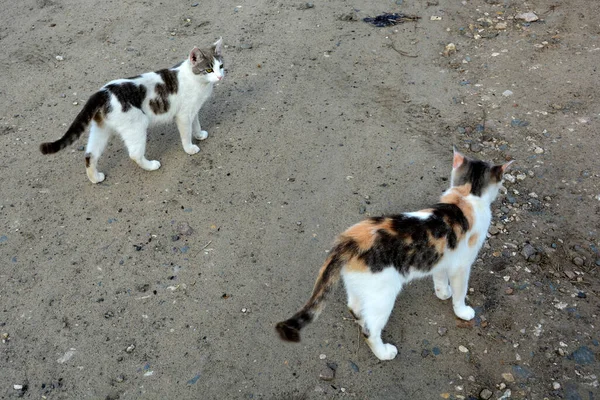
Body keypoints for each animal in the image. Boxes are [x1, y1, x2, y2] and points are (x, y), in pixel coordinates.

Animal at [39, 36, 224, 184]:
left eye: (221, 66)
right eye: (208, 69)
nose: (220, 76)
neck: (197, 81)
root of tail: (103, 92)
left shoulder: (193, 109)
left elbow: (196, 124)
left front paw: (199, 134)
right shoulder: (183, 115)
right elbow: (186, 133)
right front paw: (190, 148)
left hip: (101, 129)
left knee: (90, 155)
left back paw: (95, 178)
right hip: (137, 126)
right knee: (134, 154)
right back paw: (151, 165)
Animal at [276, 148, 510, 360]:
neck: (465, 195)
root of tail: (349, 239)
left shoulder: (442, 257)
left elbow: (440, 277)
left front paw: (443, 292)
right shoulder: (462, 265)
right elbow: (460, 292)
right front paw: (462, 311)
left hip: (360, 285)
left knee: (355, 306)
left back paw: (360, 317)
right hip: (383, 295)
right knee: (370, 331)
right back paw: (384, 352)